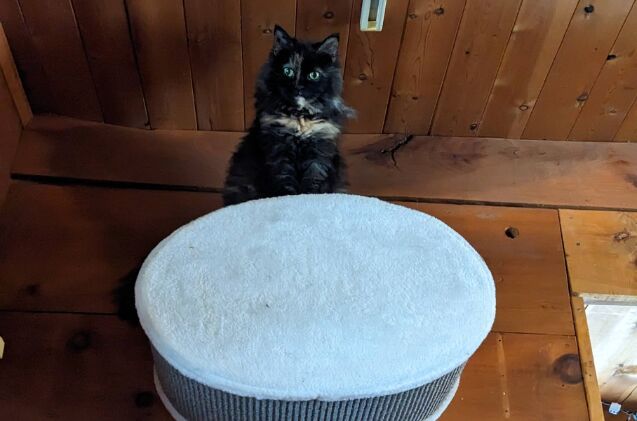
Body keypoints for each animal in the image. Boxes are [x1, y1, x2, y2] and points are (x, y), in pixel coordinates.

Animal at [222, 24, 352, 205]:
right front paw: (288, 201)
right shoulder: (279, 150)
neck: (301, 117)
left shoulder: (318, 153)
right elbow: (285, 183)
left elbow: (312, 182)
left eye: (314, 75)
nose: (298, 87)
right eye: (288, 71)